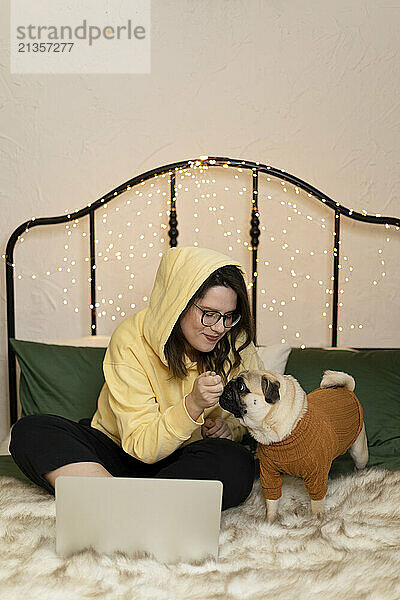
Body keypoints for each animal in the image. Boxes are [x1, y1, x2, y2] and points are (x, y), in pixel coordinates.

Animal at [219, 368, 368, 524]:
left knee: (359, 463)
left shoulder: (316, 477)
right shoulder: (270, 474)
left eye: (241, 387)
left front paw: (316, 521)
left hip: (359, 453)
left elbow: (316, 504)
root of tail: (346, 388)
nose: (227, 385)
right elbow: (271, 502)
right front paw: (270, 523)